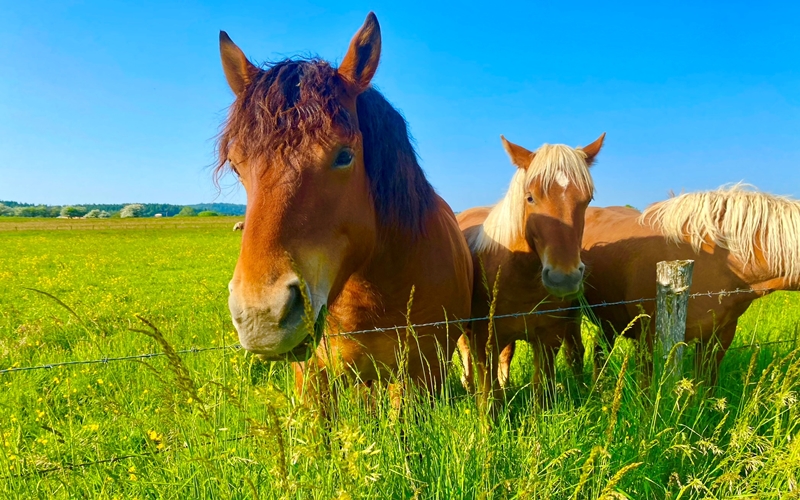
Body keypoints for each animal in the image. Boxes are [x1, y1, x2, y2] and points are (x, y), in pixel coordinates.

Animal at [457, 133, 604, 408]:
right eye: (530, 197)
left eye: (587, 199)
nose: (564, 278)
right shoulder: (484, 341)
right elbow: (490, 398)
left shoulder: (547, 338)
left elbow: (541, 393)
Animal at [543, 184, 800, 386]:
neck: (717, 259)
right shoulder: (651, 339)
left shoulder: (718, 337)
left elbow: (705, 388)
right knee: (576, 352)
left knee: (599, 350)